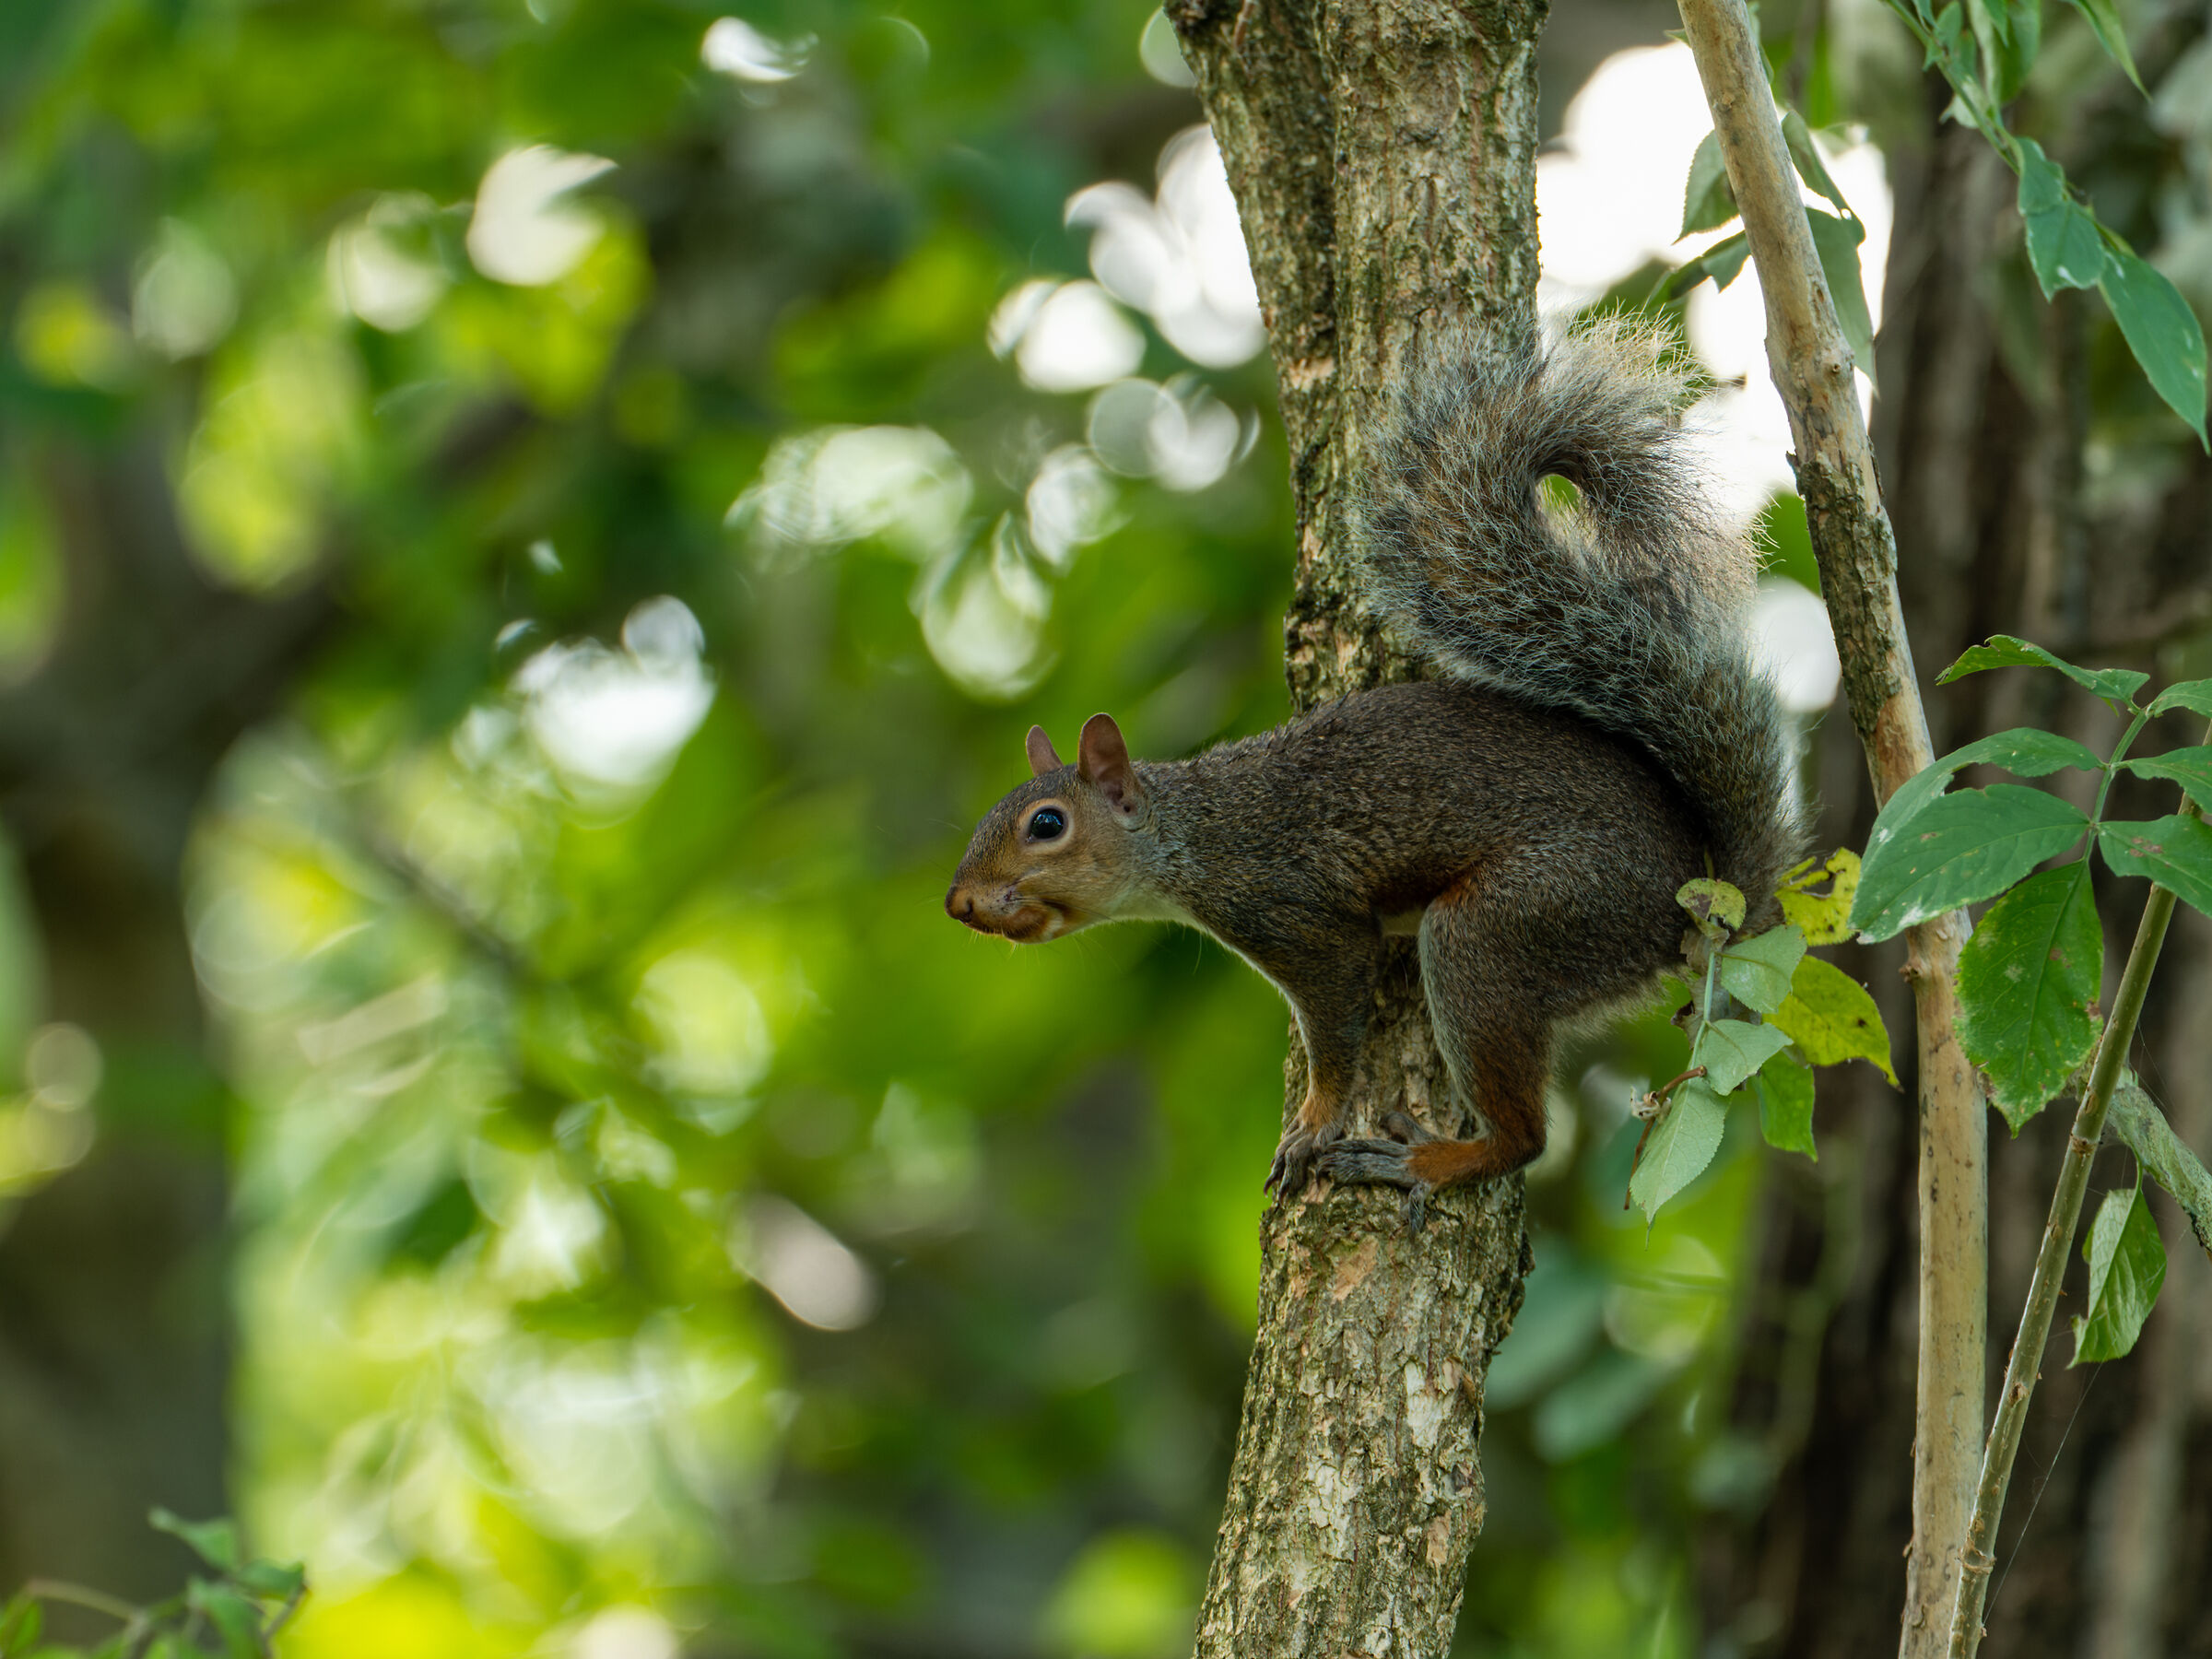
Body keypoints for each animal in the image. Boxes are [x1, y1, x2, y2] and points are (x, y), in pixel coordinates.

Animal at [944, 318, 1802, 1228]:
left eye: (1047, 825)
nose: (959, 904)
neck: (1194, 833)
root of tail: (1693, 894)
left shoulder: (1298, 916)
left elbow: (1335, 1026)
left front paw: (1314, 1123)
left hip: (1516, 923)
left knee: (1524, 1134)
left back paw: (1431, 1159)